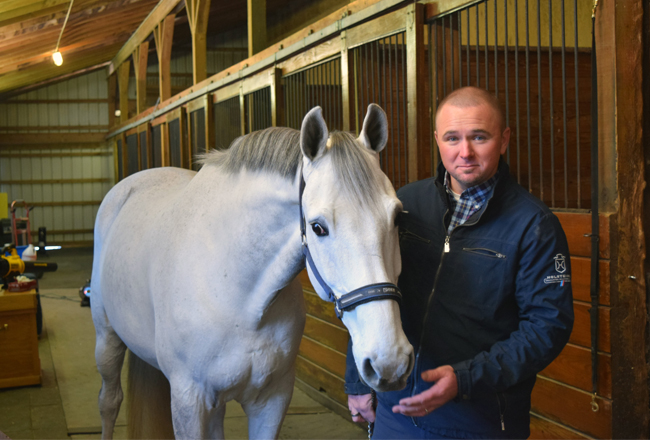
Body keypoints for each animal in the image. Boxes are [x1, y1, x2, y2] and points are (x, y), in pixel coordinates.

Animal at [91, 105, 412, 438]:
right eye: (318, 227)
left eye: (397, 217)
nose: (390, 361)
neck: (238, 296)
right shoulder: (188, 400)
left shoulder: (272, 400)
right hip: (107, 338)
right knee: (109, 401)